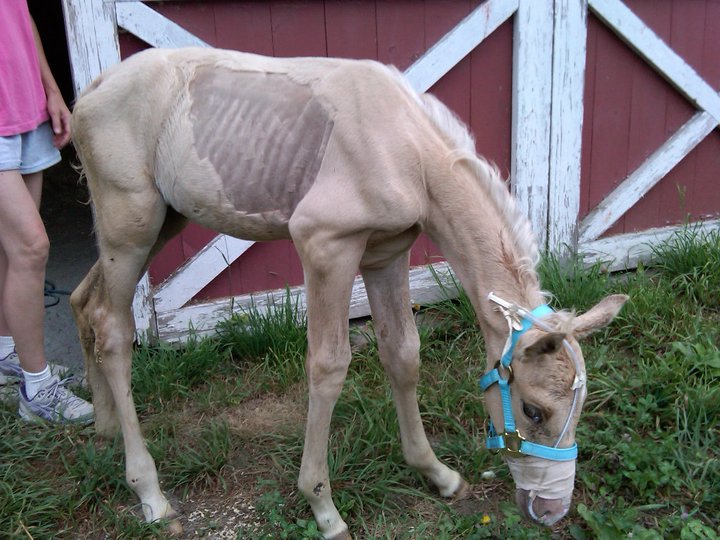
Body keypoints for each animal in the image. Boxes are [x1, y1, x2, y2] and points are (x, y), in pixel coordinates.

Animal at [70, 47, 627, 538]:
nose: (551, 510)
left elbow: (403, 353)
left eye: (580, 405)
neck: (405, 148)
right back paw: (150, 494)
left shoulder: (385, 253)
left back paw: (103, 426)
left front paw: (437, 473)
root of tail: (91, 91)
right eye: (533, 410)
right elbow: (329, 366)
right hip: (131, 222)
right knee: (114, 330)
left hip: (161, 221)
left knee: (84, 302)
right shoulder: (326, 246)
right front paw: (323, 508)